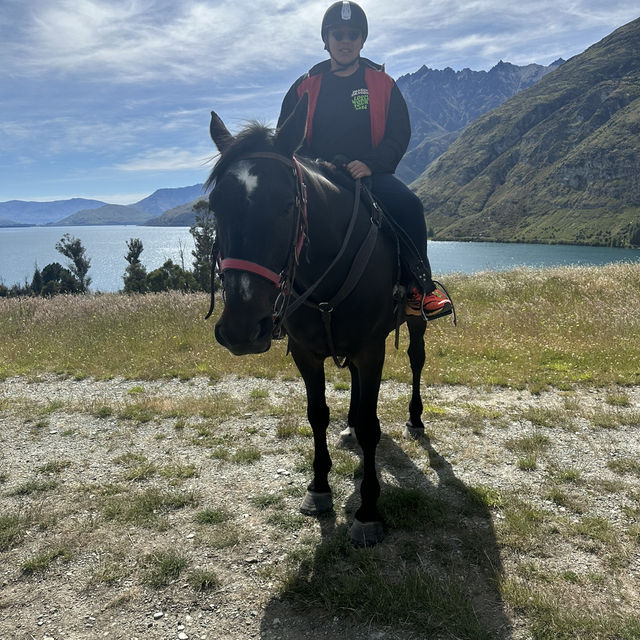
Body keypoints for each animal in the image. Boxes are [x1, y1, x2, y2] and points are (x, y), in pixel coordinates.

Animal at [208, 95, 428, 544]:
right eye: (215, 206)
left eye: (287, 204)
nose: (241, 329)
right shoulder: (307, 353)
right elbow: (318, 415)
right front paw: (319, 488)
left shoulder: (371, 350)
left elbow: (371, 425)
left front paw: (367, 511)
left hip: (413, 323)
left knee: (416, 359)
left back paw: (415, 420)